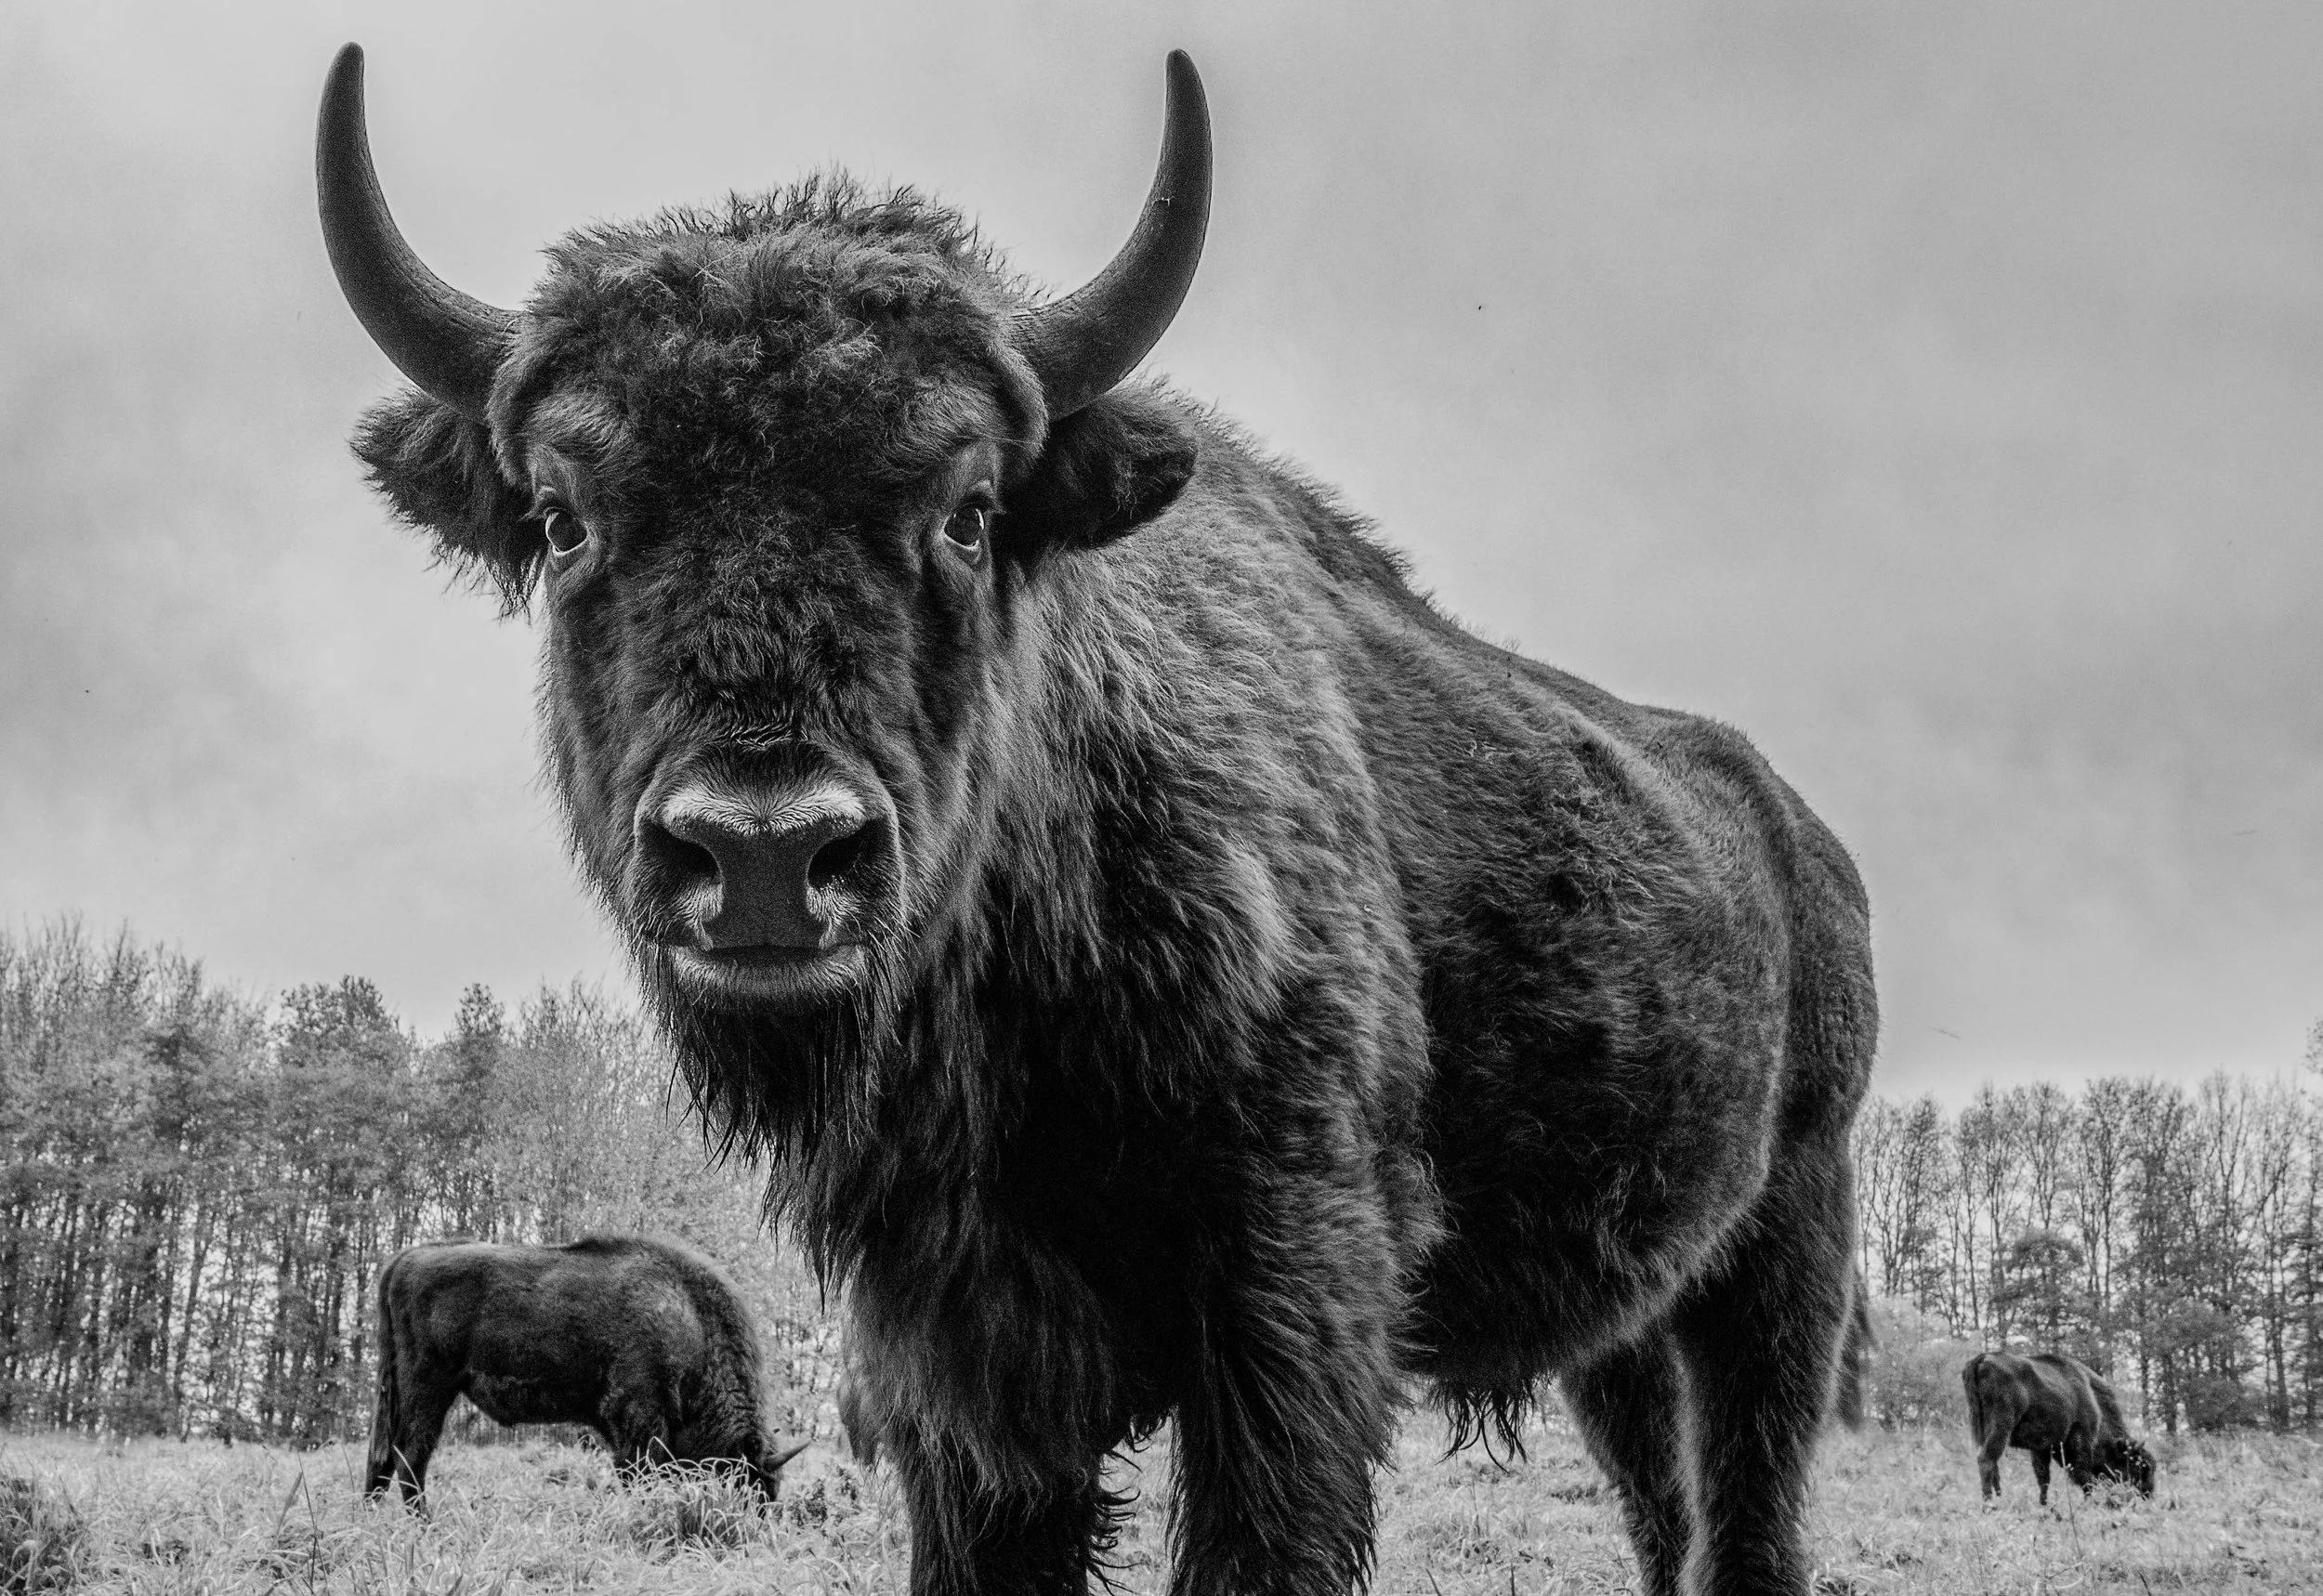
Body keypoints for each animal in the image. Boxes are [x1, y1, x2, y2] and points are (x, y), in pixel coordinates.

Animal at [365, 1235, 806, 1505]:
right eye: (745, 1484)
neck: (689, 1321)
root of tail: (405, 1260)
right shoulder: (639, 1419)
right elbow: (638, 1475)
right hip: (429, 1386)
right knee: (411, 1456)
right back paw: (424, 1525)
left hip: (397, 1389)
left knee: (380, 1456)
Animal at [1963, 1350, 2156, 1504]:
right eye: (2142, 1467)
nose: (2148, 1495)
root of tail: (1983, 1358)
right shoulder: (2081, 1440)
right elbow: (2084, 1477)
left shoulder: (2041, 1448)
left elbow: (2043, 1479)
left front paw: (2045, 1506)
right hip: (2001, 1427)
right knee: (1986, 1460)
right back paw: (1989, 1505)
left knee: (1993, 1465)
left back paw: (1999, 1498)